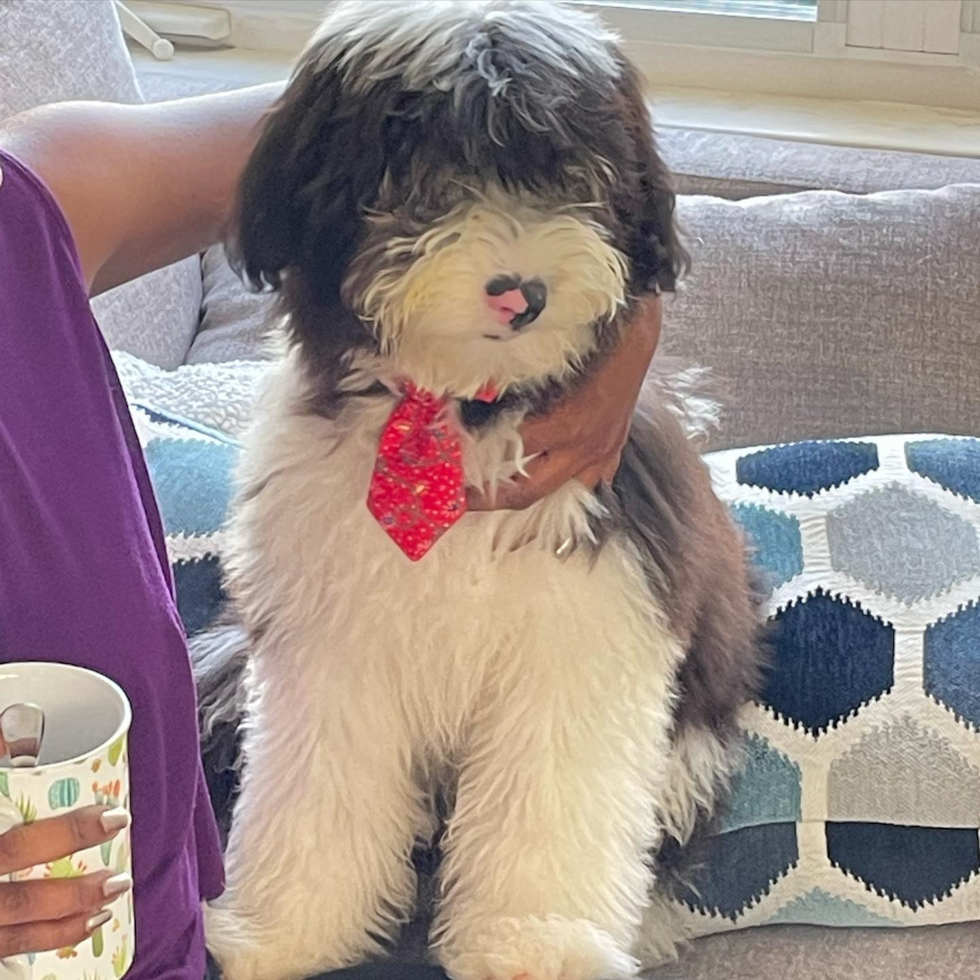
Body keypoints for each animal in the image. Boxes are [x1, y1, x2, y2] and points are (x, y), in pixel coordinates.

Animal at [199, 1, 760, 980]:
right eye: (421, 174)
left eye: (574, 169)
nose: (521, 293)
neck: (455, 418)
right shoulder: (327, 639)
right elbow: (313, 789)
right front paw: (286, 931)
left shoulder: (586, 629)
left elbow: (550, 799)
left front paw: (537, 946)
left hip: (693, 739)